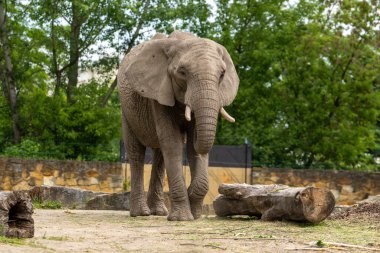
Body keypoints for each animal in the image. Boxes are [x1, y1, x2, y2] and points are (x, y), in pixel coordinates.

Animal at [117, 30, 239, 220]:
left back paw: (159, 212)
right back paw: (141, 214)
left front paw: (195, 213)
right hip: (127, 110)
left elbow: (191, 149)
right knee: (136, 152)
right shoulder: (158, 93)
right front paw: (182, 217)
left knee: (160, 155)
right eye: (182, 72)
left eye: (222, 74)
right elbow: (172, 142)